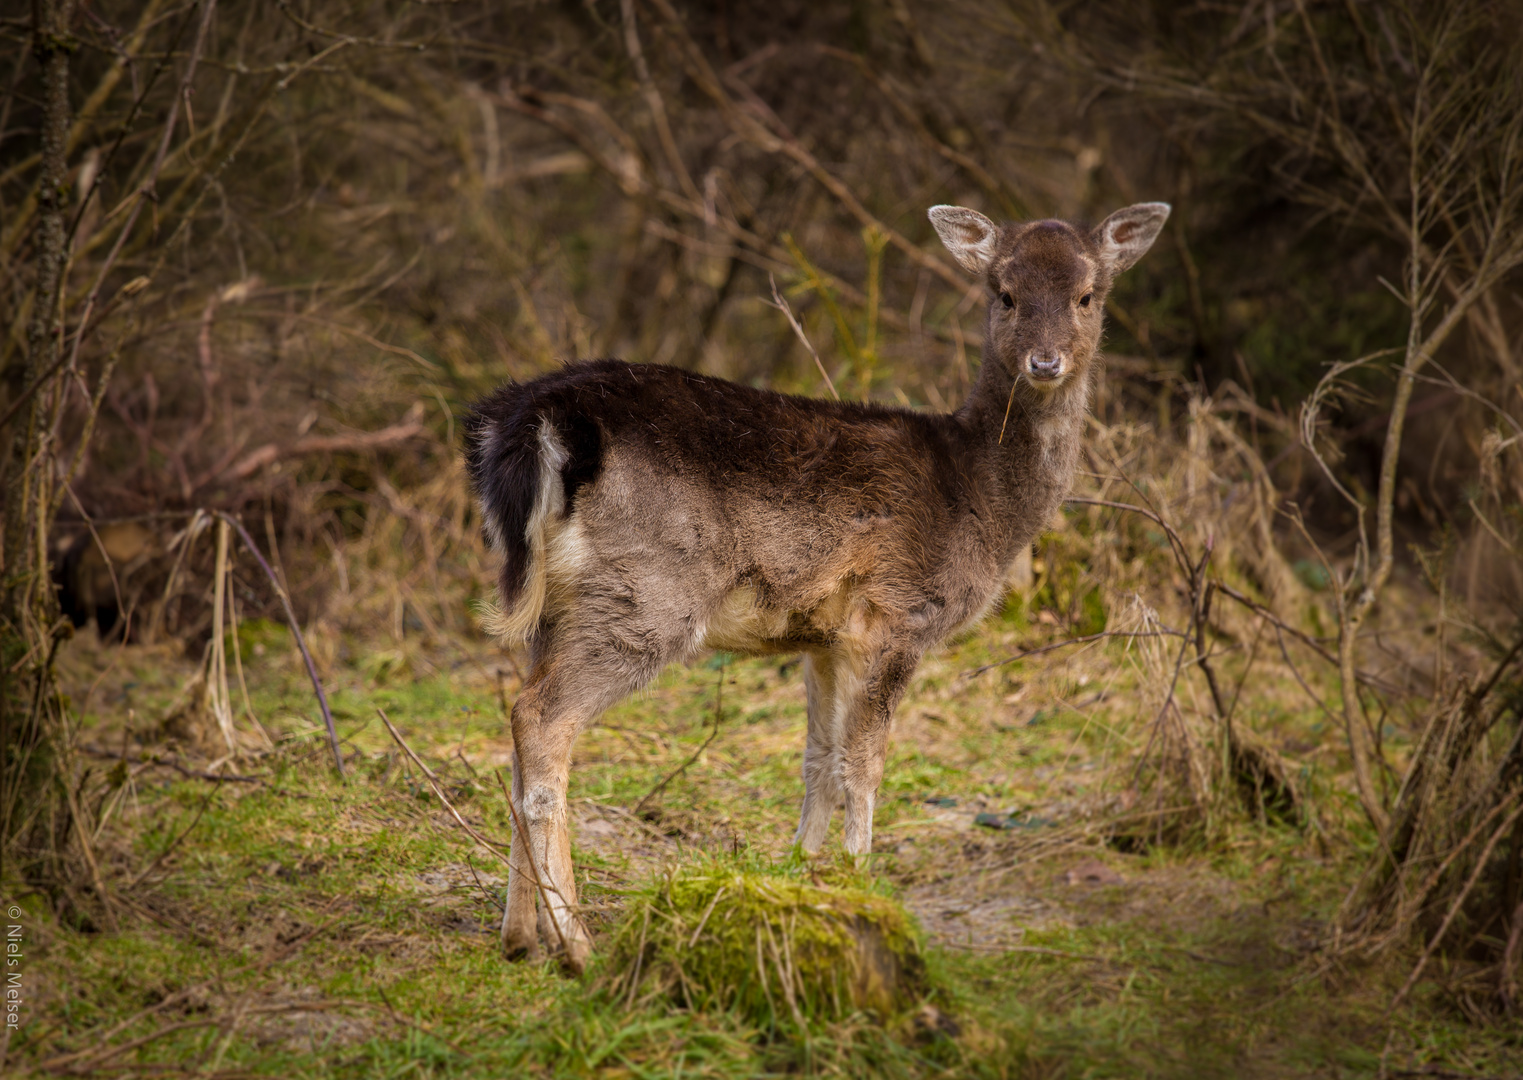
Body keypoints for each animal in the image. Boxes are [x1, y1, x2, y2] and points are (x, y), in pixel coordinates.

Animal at [469, 199, 1169, 968]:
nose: (1046, 362)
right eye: (1004, 293)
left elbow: (818, 760)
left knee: (518, 724)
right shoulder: (895, 614)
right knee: (543, 721)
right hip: (645, 595)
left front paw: (798, 877)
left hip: (558, 605)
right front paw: (864, 884)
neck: (981, 499)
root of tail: (538, 421)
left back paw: (518, 935)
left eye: (1088, 296)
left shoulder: (826, 636)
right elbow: (862, 765)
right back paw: (578, 943)